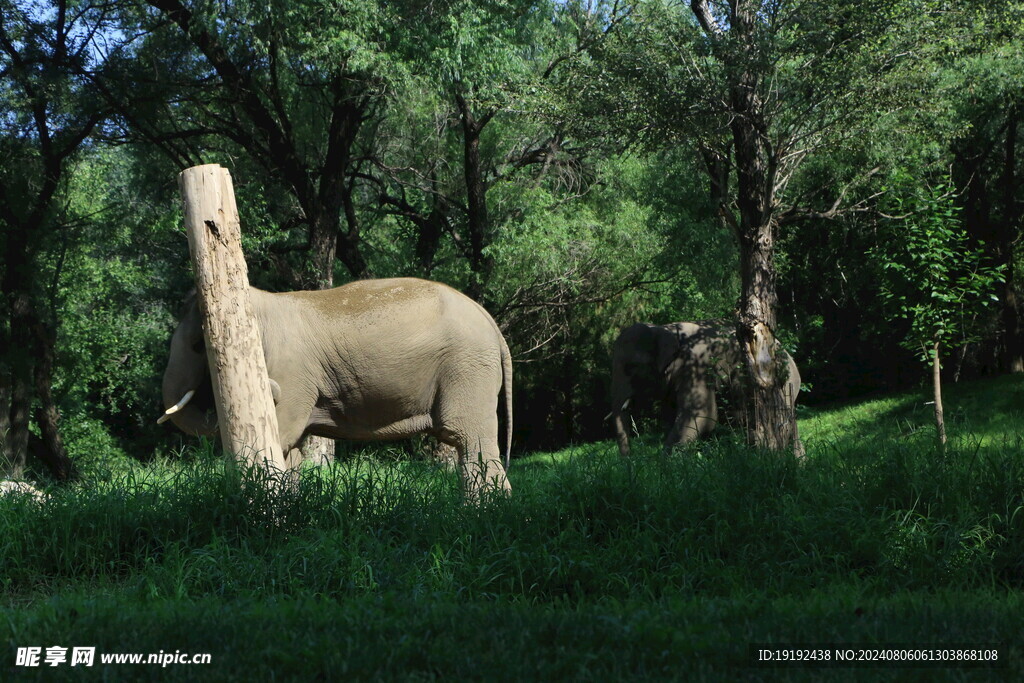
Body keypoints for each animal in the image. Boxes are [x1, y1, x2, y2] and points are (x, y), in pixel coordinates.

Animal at [161, 278, 512, 497]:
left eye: (197, 346)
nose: (272, 389)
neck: (258, 302)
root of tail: (492, 324)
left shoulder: (291, 372)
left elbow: (283, 434)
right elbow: (292, 449)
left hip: (468, 369)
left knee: (470, 441)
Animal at [606, 319, 798, 454]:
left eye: (631, 367)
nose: (631, 460)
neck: (664, 328)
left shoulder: (697, 365)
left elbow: (702, 414)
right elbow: (671, 415)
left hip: (785, 381)